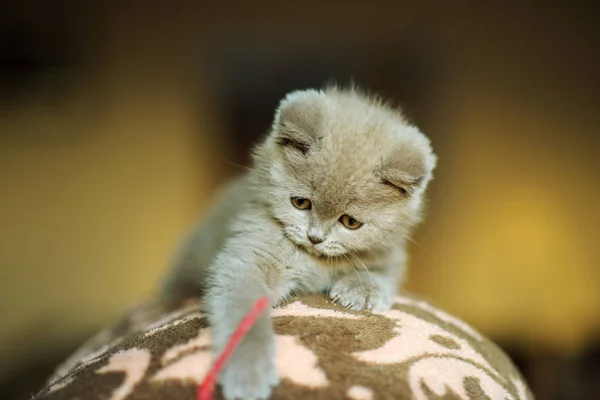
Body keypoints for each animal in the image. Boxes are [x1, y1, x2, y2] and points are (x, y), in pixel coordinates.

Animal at [161, 86, 436, 400]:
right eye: (301, 203)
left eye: (350, 222)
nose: (315, 237)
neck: (313, 260)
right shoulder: (247, 254)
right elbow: (244, 311)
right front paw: (248, 369)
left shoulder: (391, 253)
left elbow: (384, 273)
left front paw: (362, 290)